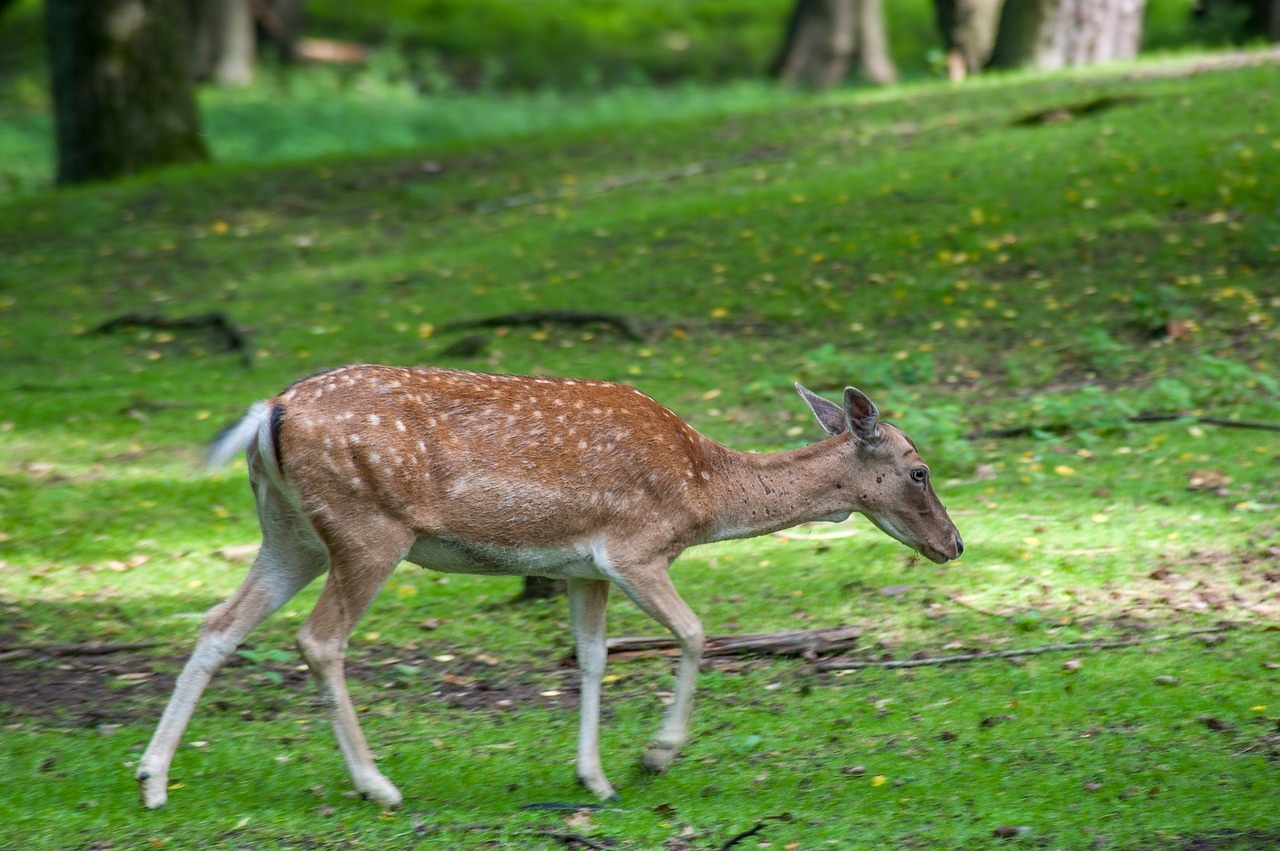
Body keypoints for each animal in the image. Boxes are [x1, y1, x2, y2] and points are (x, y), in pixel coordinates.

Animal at [140, 360, 962, 808]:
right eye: (920, 470)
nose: (953, 544)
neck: (702, 496)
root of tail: (268, 412)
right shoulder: (635, 548)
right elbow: (697, 632)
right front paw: (656, 755)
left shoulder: (581, 568)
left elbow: (592, 659)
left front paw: (595, 778)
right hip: (366, 526)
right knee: (319, 638)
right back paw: (378, 786)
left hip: (289, 532)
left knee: (218, 623)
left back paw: (151, 778)